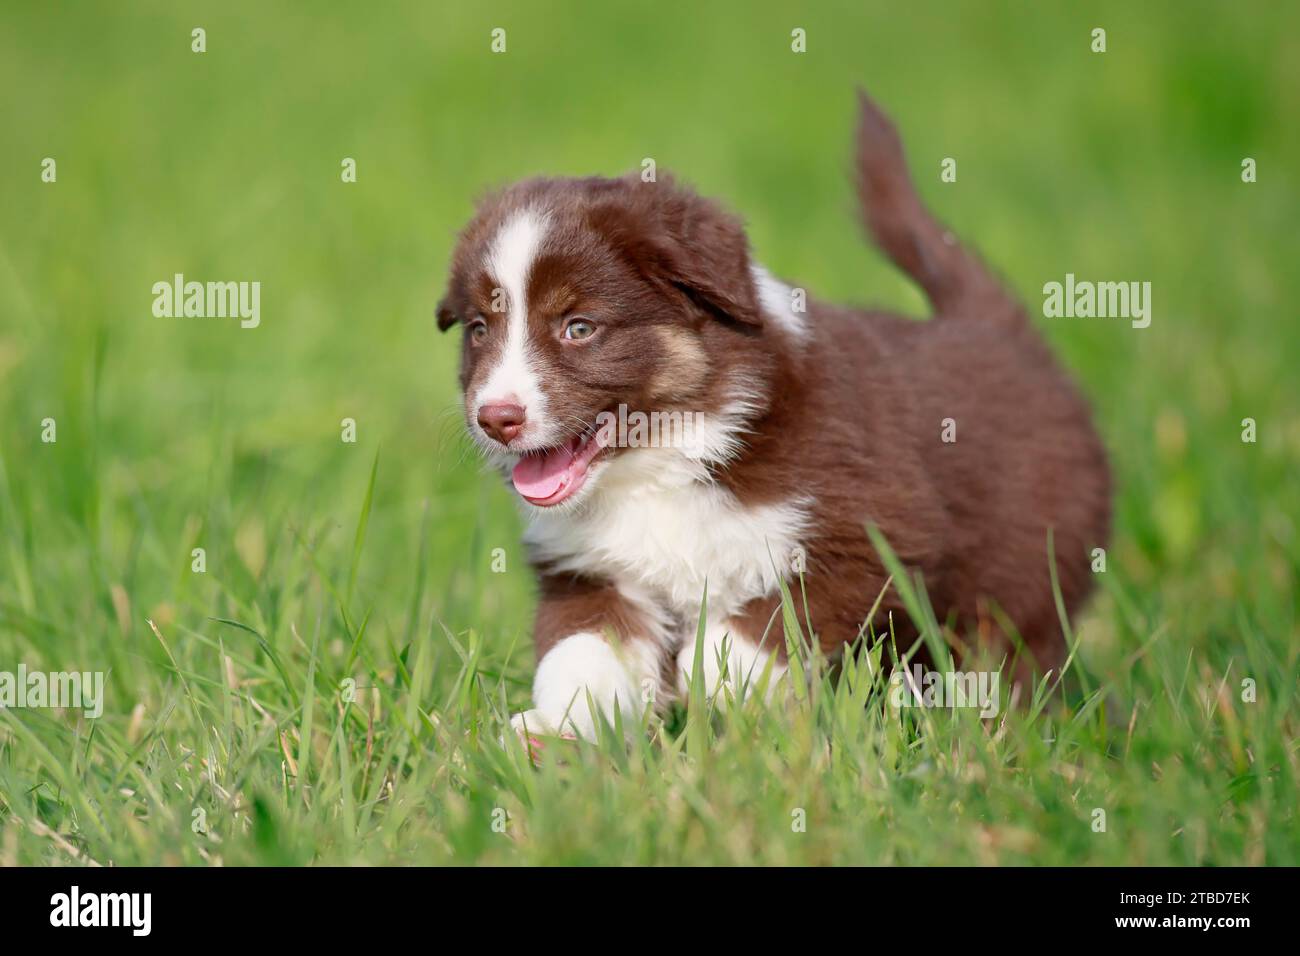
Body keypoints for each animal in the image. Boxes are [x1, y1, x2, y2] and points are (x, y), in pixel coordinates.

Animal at [434, 91, 1107, 738]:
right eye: (479, 329)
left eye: (579, 327)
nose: (496, 418)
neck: (674, 456)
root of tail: (1001, 331)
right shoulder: (589, 569)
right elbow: (580, 656)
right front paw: (557, 733)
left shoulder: (868, 540)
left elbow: (740, 644)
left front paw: (722, 713)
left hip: (1033, 571)